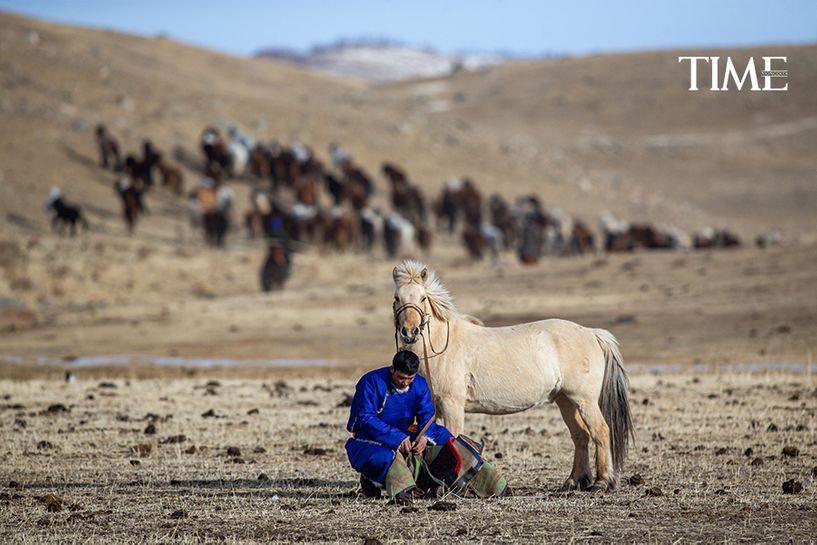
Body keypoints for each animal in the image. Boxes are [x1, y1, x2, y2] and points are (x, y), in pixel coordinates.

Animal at [392, 258, 636, 490]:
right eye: (397, 298)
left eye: (423, 298)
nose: (409, 332)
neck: (442, 344)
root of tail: (592, 333)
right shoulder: (437, 409)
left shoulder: (452, 405)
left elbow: (453, 438)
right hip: (566, 400)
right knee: (581, 436)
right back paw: (573, 481)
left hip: (585, 400)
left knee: (600, 432)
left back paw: (601, 482)